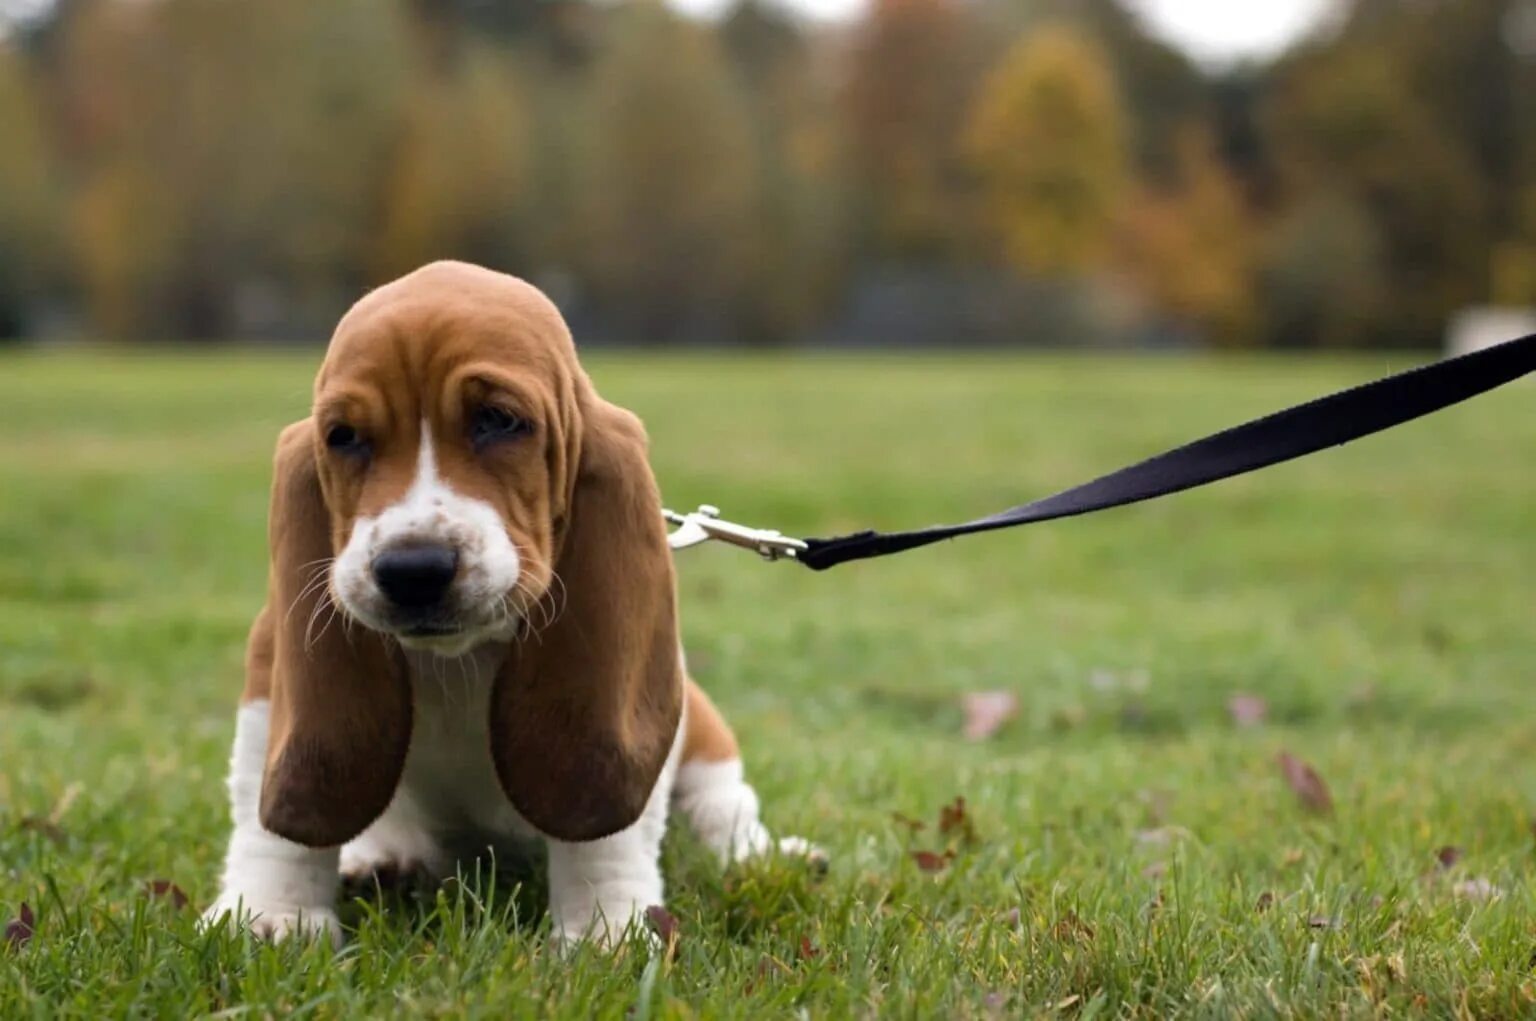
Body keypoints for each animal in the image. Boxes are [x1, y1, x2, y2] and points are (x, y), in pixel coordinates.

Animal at [201, 259, 817, 945]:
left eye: (498, 420)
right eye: (344, 436)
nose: (413, 570)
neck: (457, 658)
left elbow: (609, 837)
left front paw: (606, 930)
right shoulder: (271, 672)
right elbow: (268, 820)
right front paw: (268, 916)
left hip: (705, 736)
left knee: (725, 810)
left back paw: (768, 858)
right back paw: (383, 858)